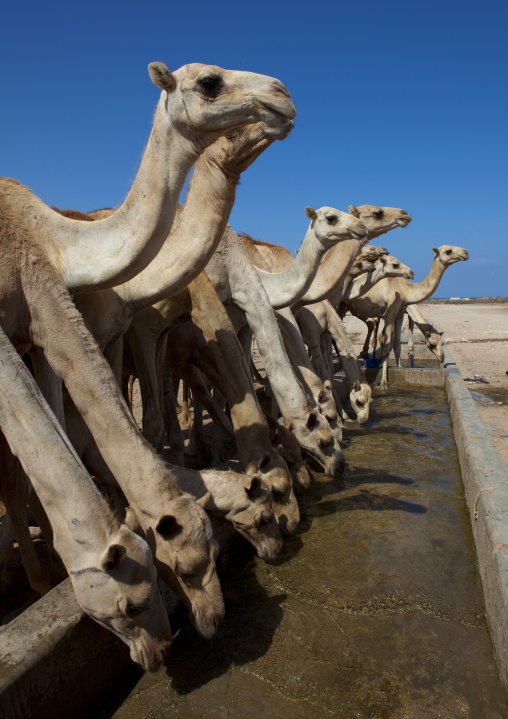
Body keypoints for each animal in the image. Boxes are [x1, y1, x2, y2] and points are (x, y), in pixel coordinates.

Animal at [343, 246, 469, 388]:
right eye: (448, 251)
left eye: (442, 343)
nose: (465, 253)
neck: (405, 289)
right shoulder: (390, 313)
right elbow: (387, 345)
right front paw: (384, 382)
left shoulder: (400, 312)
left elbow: (397, 345)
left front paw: (400, 368)